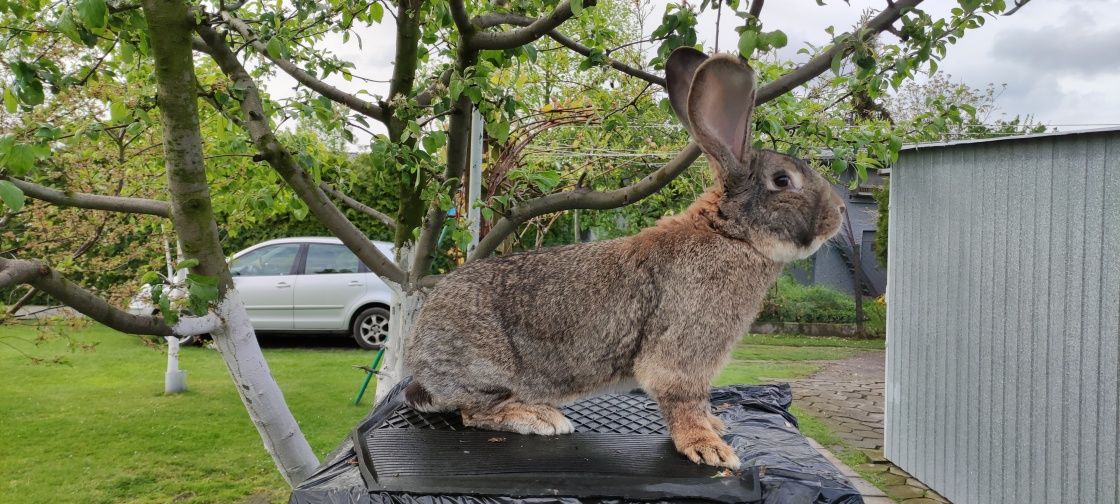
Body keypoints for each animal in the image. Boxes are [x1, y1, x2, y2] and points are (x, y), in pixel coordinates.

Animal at [403, 47, 842, 468]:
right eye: (783, 181)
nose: (838, 214)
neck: (730, 232)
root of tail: (420, 359)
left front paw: (715, 425)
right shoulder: (682, 356)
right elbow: (682, 401)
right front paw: (708, 448)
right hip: (485, 369)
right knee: (473, 412)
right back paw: (539, 417)